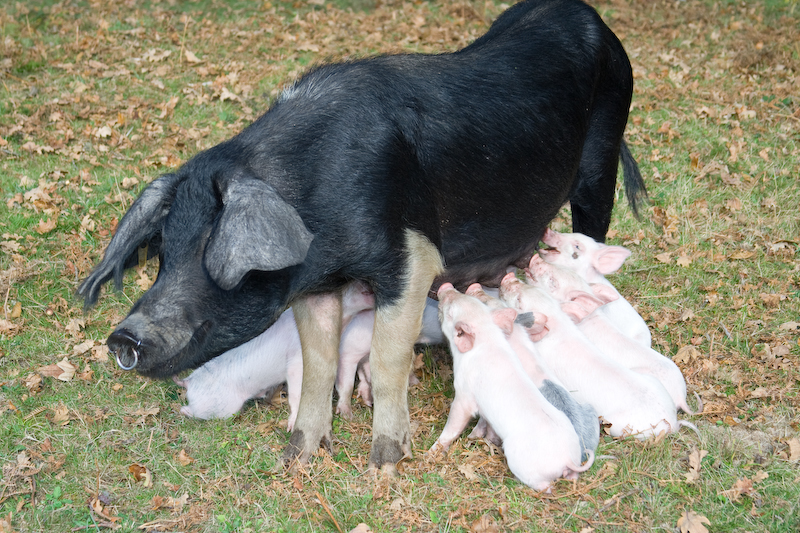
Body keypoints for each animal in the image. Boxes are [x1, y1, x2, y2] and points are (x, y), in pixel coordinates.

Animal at [78, 0, 648, 468]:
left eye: (210, 253)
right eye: (165, 253)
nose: (122, 337)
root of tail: (591, 18)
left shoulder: (412, 255)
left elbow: (388, 355)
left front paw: (386, 463)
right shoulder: (316, 282)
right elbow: (319, 360)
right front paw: (300, 457)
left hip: (603, 154)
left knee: (594, 230)